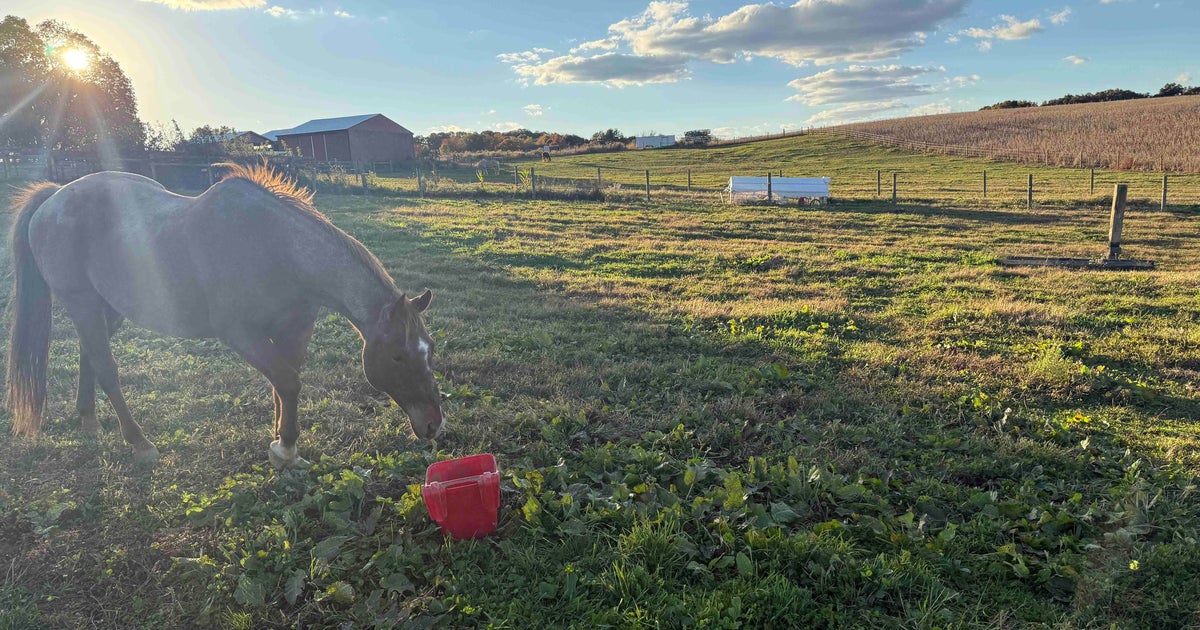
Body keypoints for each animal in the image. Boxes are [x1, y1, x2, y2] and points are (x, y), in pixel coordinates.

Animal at [6, 163, 444, 467]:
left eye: (430, 349)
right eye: (398, 357)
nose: (434, 424)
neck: (276, 248)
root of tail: (54, 197)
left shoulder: (294, 330)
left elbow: (284, 383)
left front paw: (282, 443)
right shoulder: (240, 333)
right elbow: (288, 382)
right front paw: (285, 448)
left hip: (107, 309)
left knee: (90, 357)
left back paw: (89, 421)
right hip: (81, 302)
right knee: (107, 369)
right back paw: (139, 443)